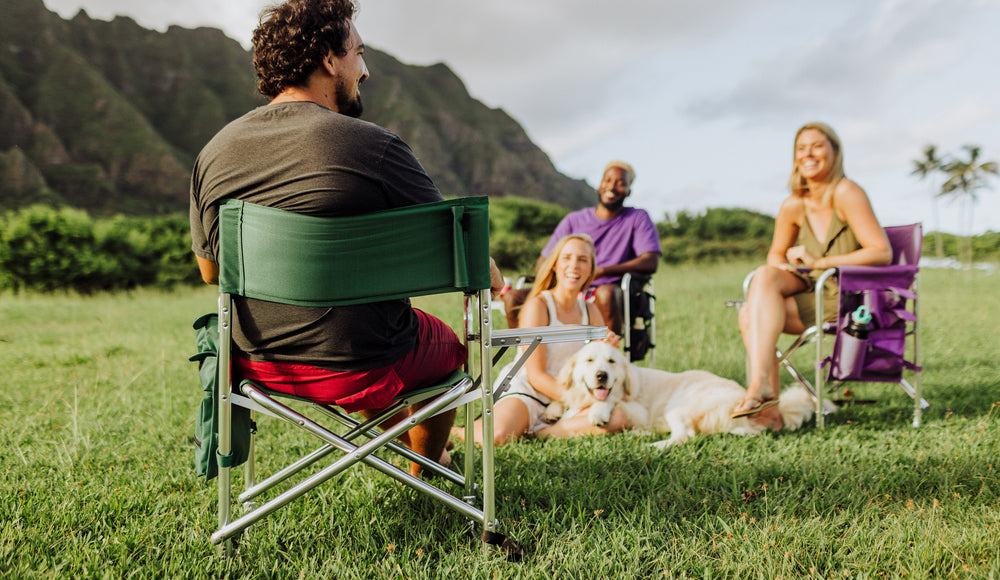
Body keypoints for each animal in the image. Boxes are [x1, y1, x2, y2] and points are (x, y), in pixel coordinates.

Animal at [544, 342, 816, 446]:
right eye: (589, 361)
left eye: (611, 362)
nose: (602, 376)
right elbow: (562, 400)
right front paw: (553, 410)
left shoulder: (637, 409)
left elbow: (610, 400)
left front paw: (598, 411)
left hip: (677, 404)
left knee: (684, 436)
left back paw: (651, 445)